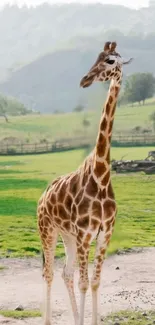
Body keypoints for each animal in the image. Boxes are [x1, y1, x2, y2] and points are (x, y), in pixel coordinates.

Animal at [37, 41, 132, 324]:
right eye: (96, 57)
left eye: (110, 60)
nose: (85, 80)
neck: (101, 176)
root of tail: (41, 197)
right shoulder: (84, 234)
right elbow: (84, 282)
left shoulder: (103, 235)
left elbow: (95, 282)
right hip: (48, 230)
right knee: (49, 272)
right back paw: (47, 320)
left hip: (67, 236)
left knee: (65, 273)